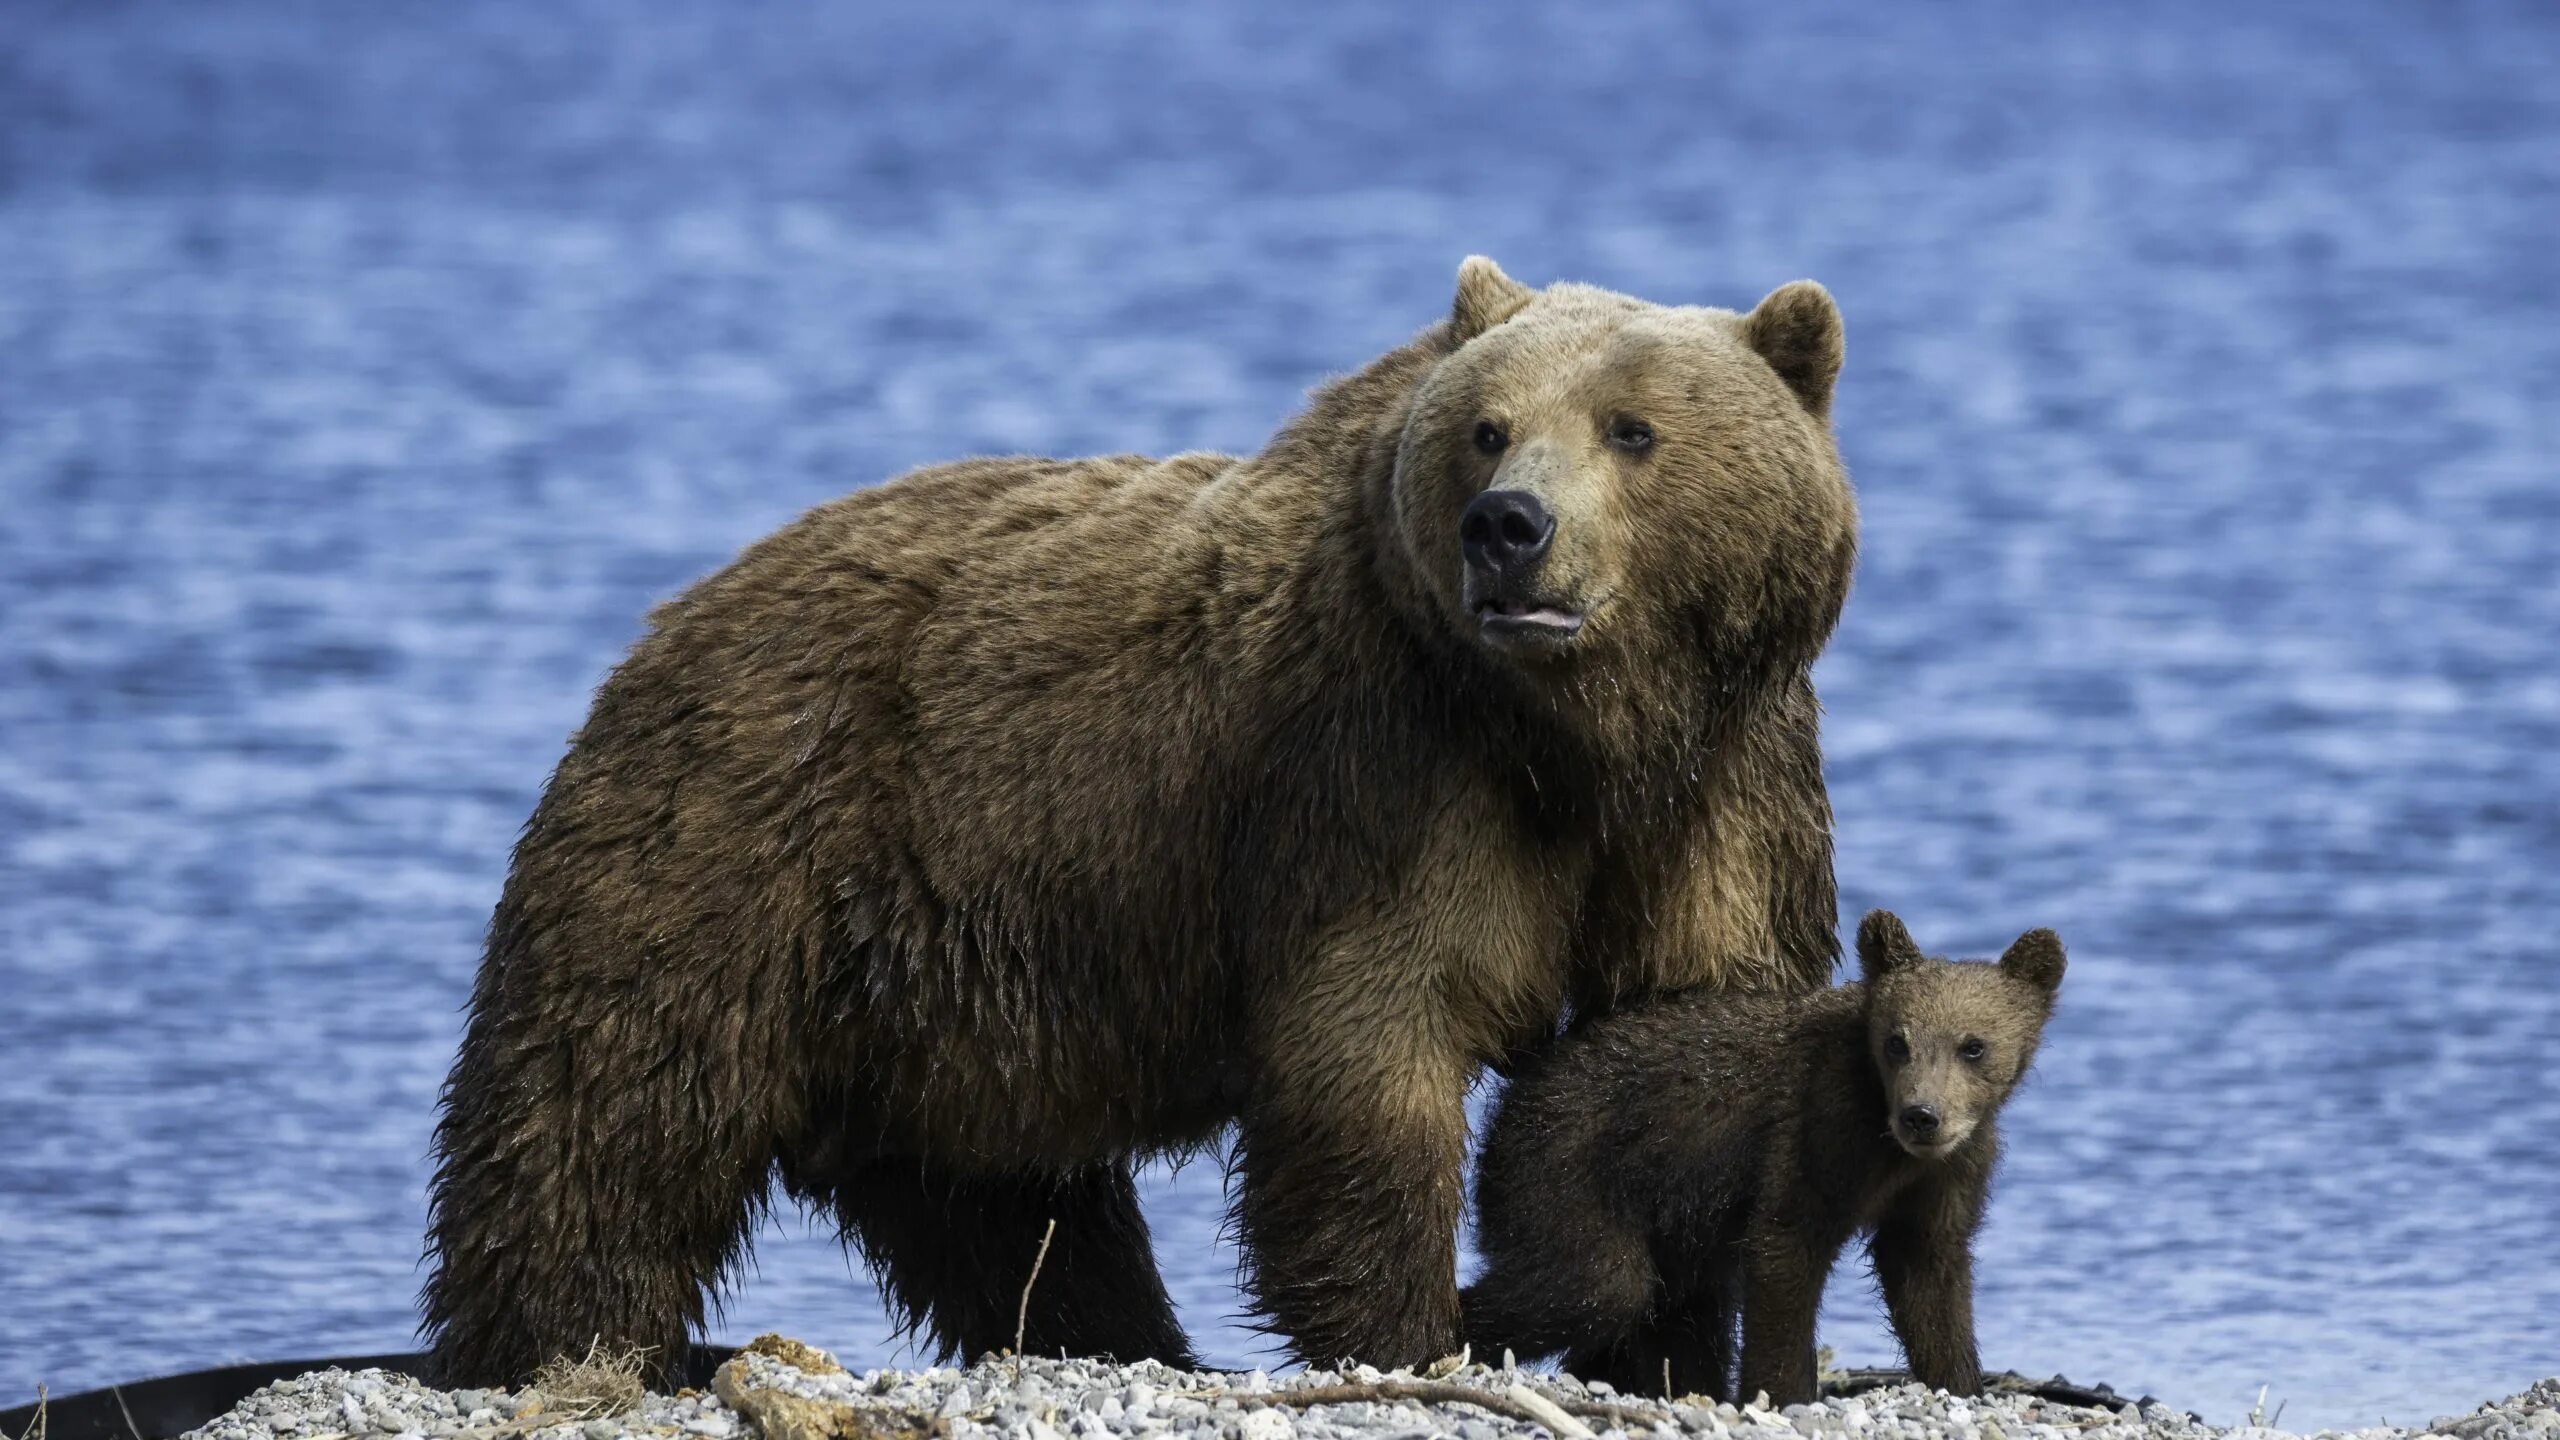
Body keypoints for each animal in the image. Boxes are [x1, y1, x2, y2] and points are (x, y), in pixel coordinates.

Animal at [424, 257, 1863, 1383]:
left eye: (1632, 428)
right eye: (1488, 428)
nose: (1508, 527)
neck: (1578, 735)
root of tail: (672, 620)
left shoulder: (1730, 775)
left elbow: (1686, 1029)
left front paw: (1664, 1337)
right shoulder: (1381, 774)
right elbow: (1375, 1041)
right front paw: (1410, 1330)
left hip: (944, 988)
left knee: (1002, 1204)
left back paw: (1123, 1340)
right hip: (736, 847)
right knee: (608, 1121)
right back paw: (557, 1342)